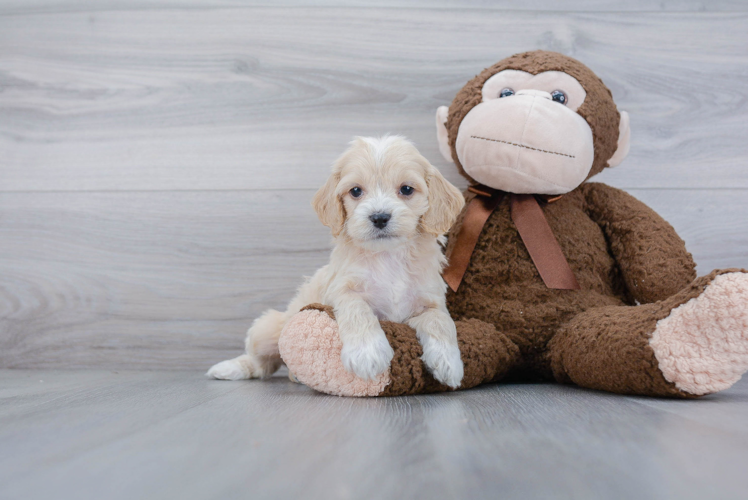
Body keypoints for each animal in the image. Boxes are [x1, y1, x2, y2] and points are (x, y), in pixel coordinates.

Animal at [210, 136, 464, 386]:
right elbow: (358, 308)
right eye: (356, 191)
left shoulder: (430, 300)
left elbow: (442, 322)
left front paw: (449, 362)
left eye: (407, 189)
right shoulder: (340, 290)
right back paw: (231, 368)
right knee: (263, 361)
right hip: (267, 329)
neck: (387, 256)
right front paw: (367, 353)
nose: (379, 217)